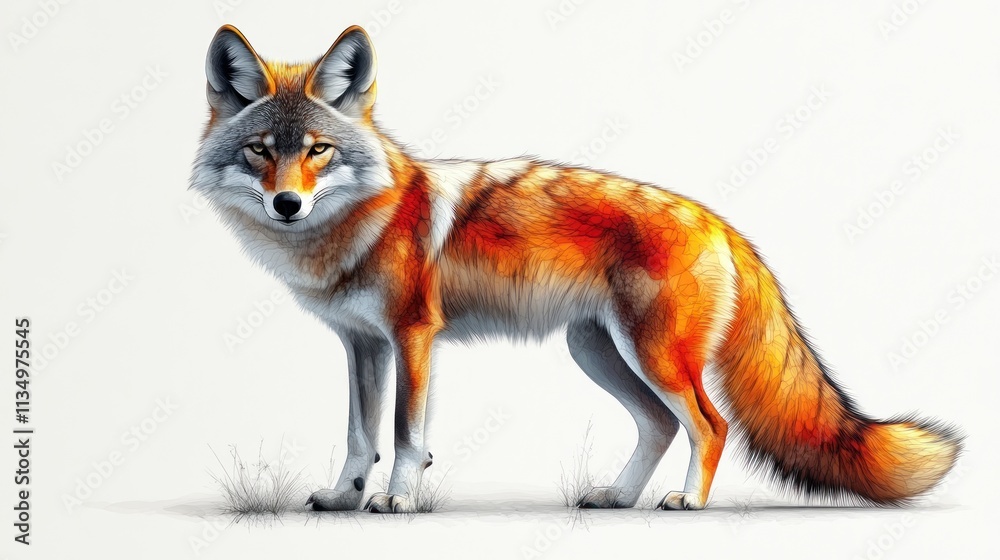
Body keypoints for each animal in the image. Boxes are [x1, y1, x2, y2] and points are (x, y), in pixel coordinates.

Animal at [191, 24, 961, 513]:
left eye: (317, 151)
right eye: (262, 150)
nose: (287, 204)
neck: (364, 222)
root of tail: (717, 219)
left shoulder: (412, 338)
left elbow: (407, 439)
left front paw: (398, 501)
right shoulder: (363, 346)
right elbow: (360, 438)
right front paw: (342, 498)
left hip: (653, 357)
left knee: (710, 426)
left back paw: (687, 501)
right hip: (597, 352)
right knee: (661, 427)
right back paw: (618, 498)